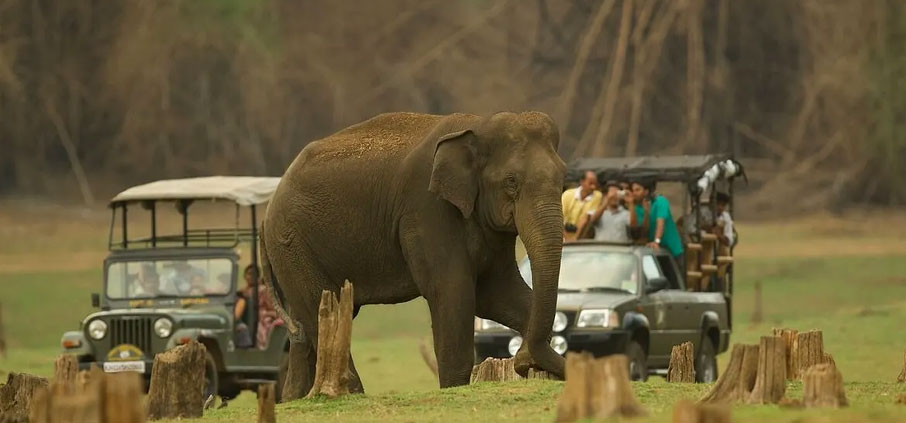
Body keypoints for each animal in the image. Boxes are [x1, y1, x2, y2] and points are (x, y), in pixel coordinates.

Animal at [256, 110, 564, 398]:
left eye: (563, 179)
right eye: (511, 181)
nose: (523, 362)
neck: (479, 123)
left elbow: (498, 293)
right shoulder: (427, 211)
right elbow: (452, 292)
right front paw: (453, 389)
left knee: (305, 331)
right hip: (291, 242)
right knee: (318, 311)